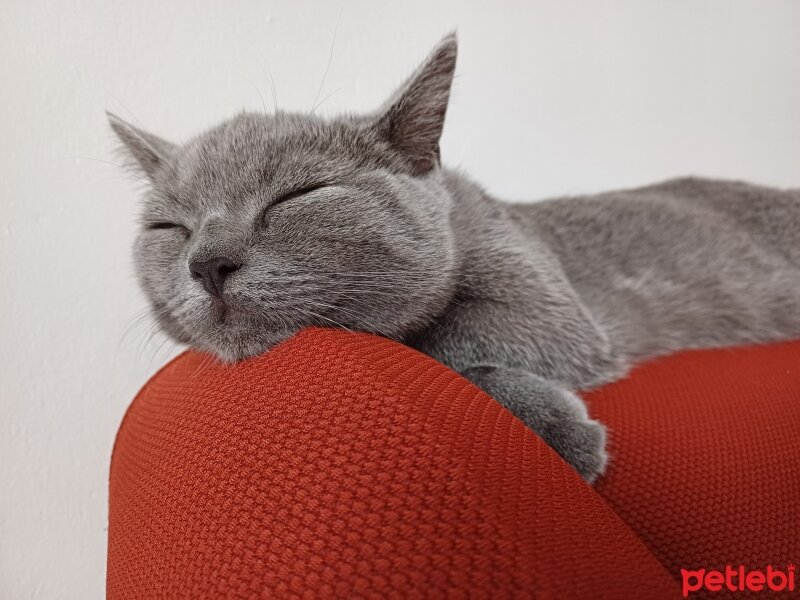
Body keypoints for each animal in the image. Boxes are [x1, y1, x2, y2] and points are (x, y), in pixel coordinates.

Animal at [109, 34, 800, 482]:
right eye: (170, 227)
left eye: (296, 196)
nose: (206, 263)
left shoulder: (549, 309)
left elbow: (436, 343)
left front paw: (558, 430)